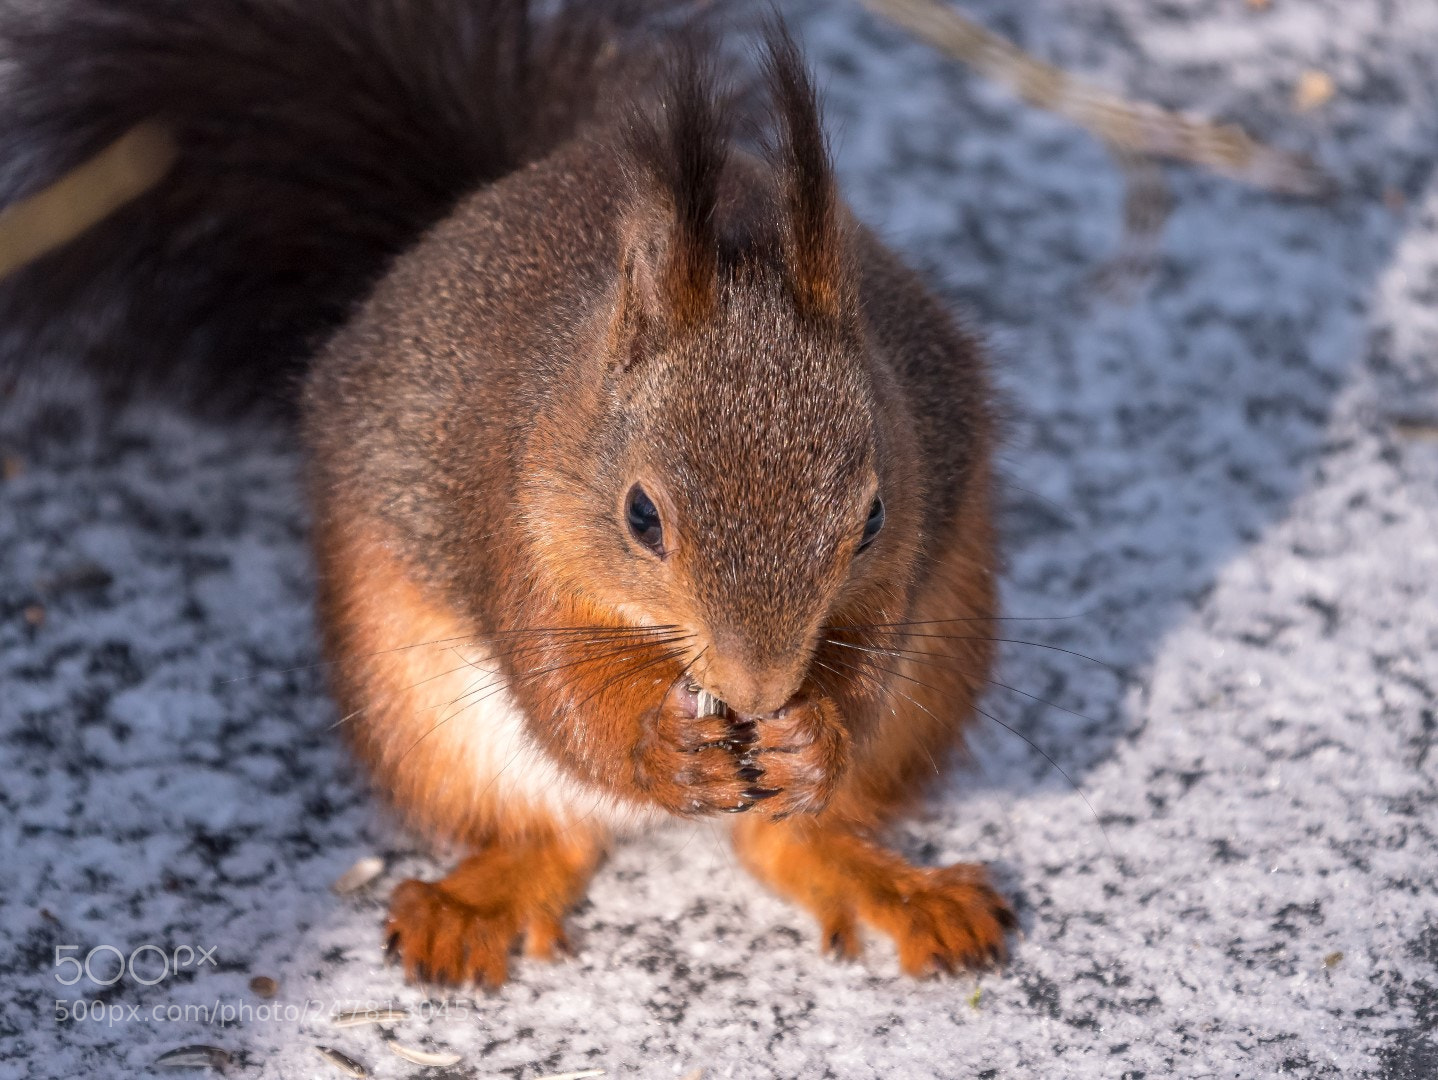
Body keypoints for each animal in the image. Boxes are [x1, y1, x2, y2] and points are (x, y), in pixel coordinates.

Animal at [0, 0, 1017, 984]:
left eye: (872, 518)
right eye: (641, 516)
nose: (757, 690)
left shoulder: (910, 532)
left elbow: (870, 659)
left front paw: (814, 737)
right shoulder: (511, 523)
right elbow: (559, 690)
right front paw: (658, 750)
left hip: (941, 670)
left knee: (786, 841)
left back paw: (904, 890)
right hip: (415, 704)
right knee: (549, 832)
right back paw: (468, 911)